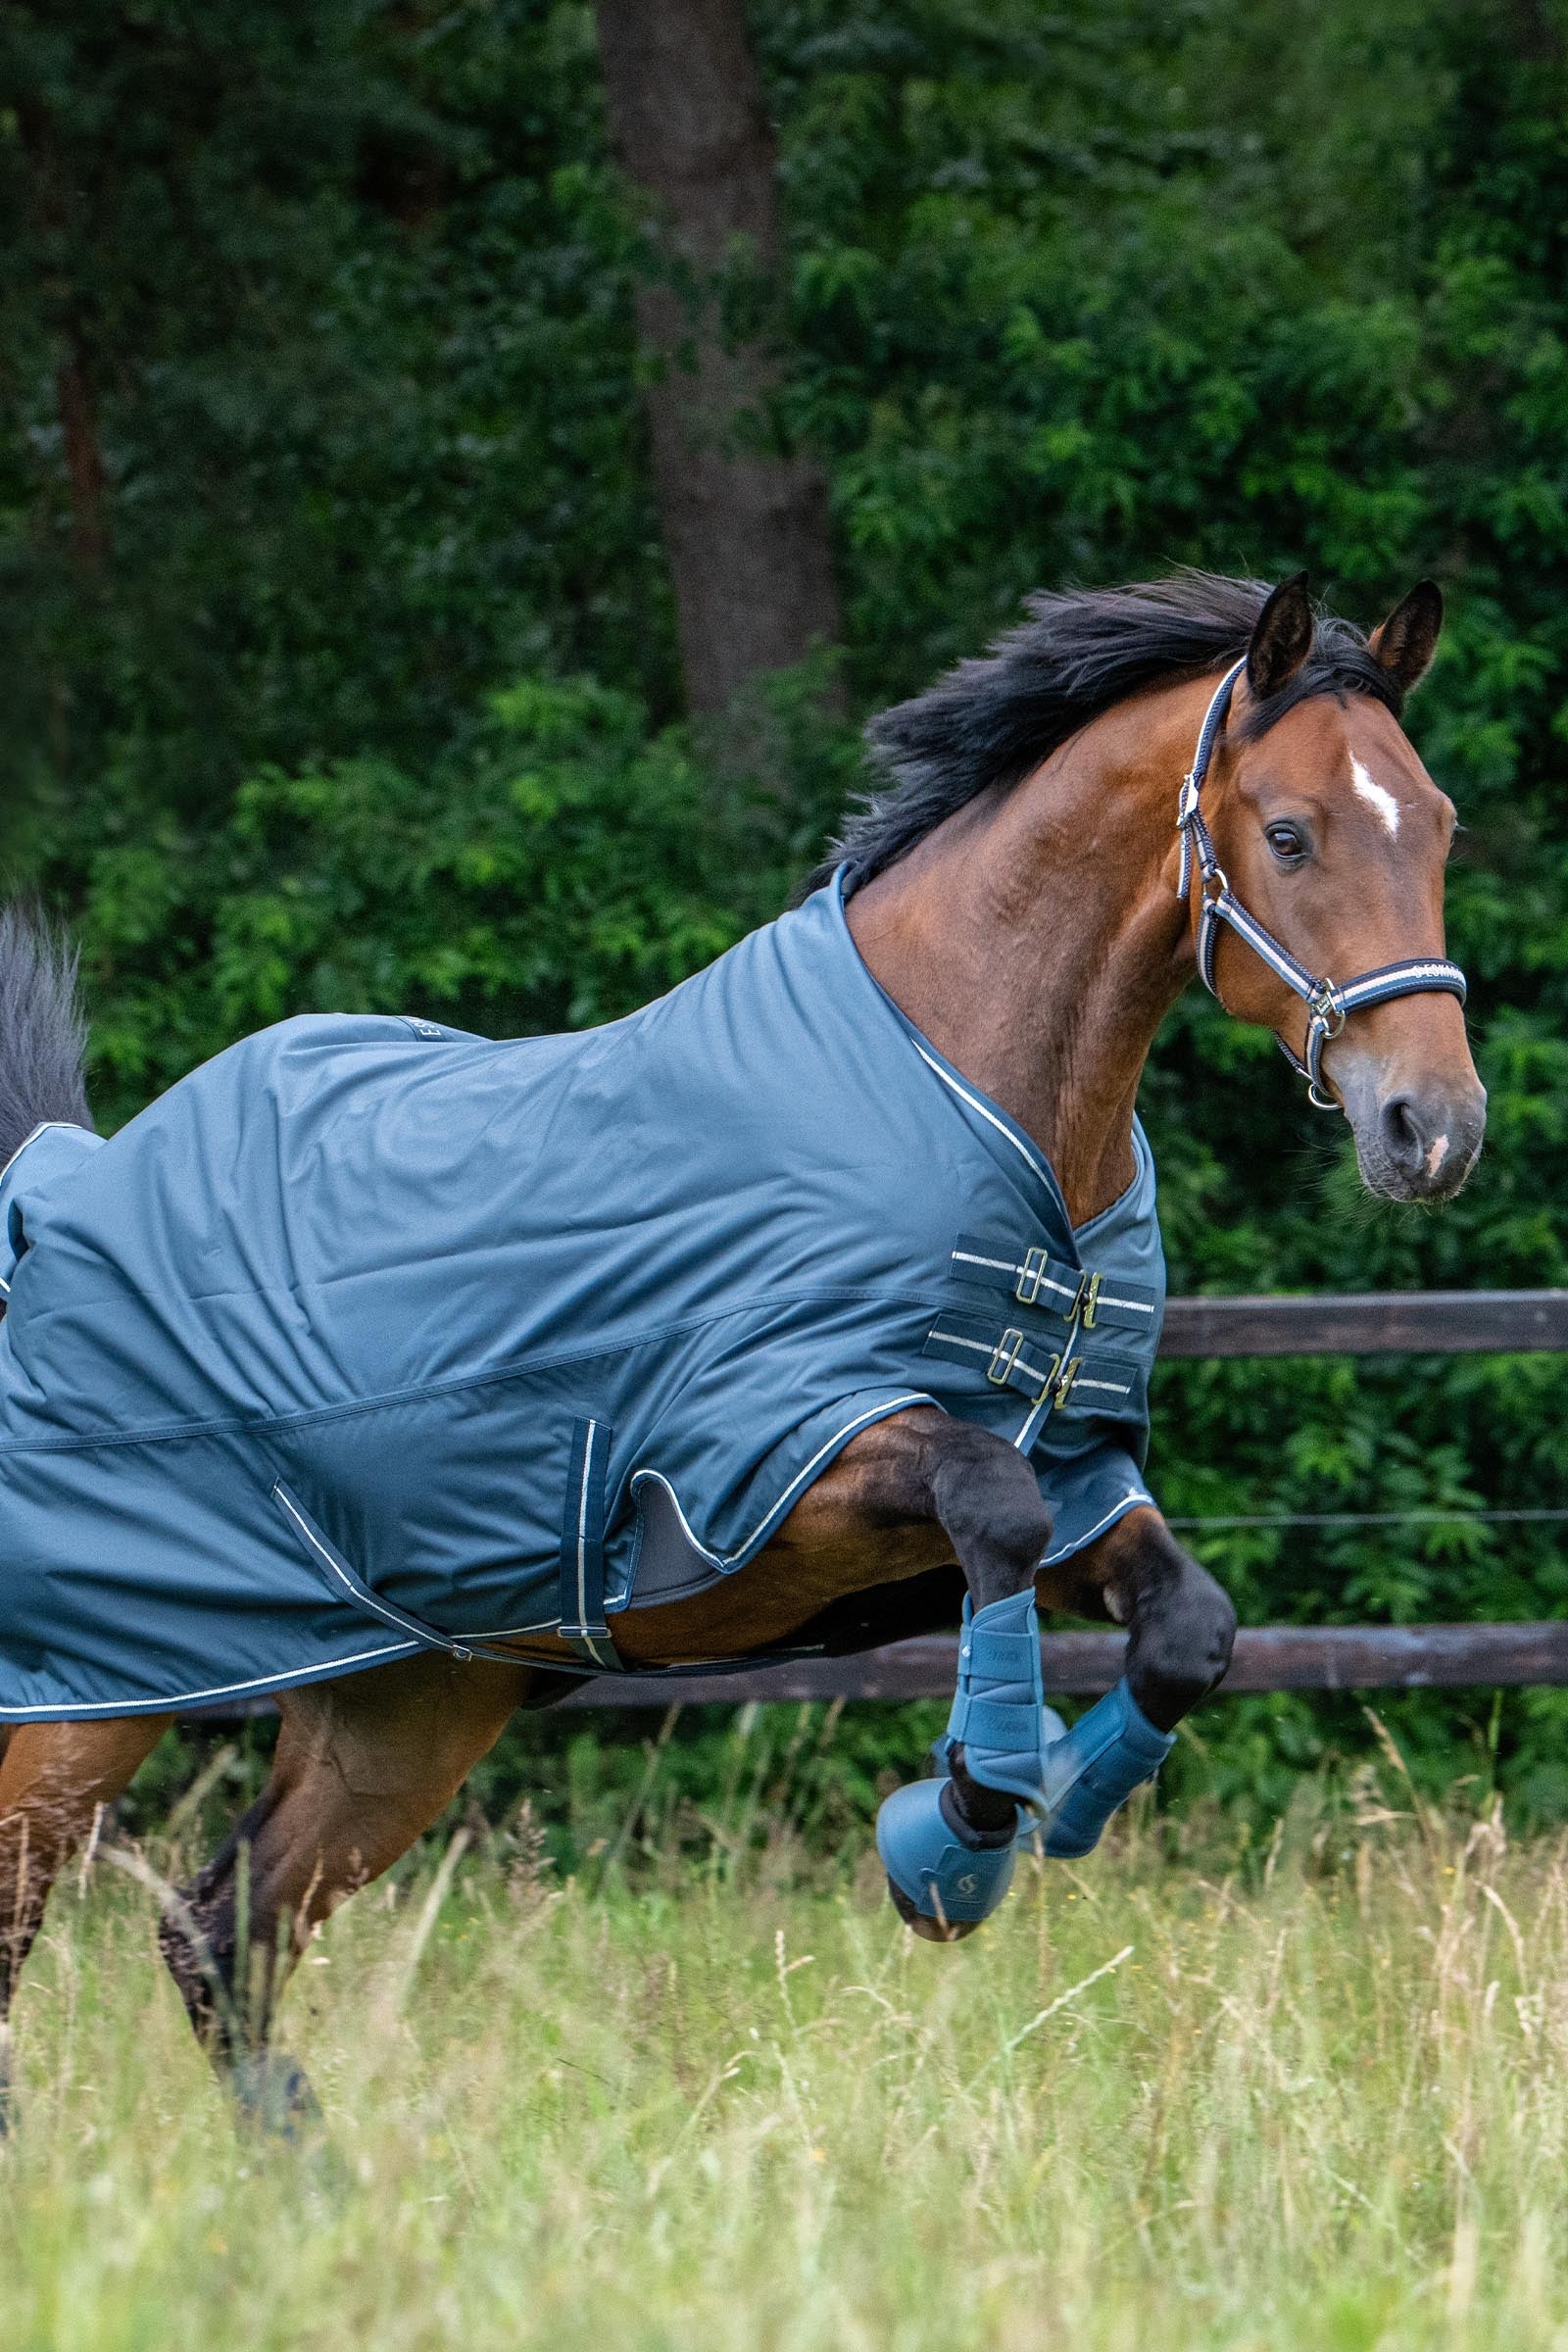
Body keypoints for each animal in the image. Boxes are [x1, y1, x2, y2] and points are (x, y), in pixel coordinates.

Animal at [0, 571, 1484, 2131]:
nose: (1433, 1127)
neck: (967, 1094)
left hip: (408, 1705)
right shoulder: (772, 1463)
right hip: (86, 1693)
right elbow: (994, 1513)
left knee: (220, 1930)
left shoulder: (1077, 1474)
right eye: (1290, 832)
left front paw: (1028, 1823)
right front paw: (957, 1830)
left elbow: (1184, 1625)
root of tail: (60, 1194)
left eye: (1440, 823)